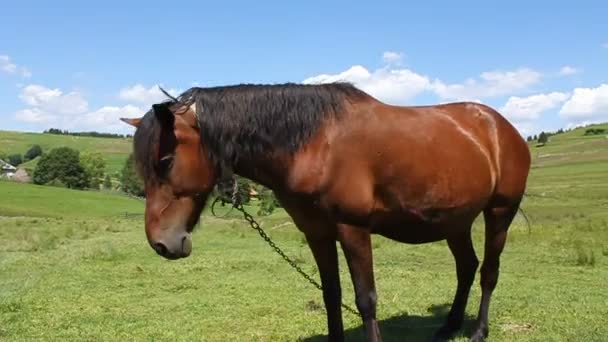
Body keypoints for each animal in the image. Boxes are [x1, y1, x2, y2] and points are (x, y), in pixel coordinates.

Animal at [121, 81, 528, 340]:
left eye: (166, 160)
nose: (161, 243)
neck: (316, 143)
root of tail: (501, 127)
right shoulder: (316, 232)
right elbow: (332, 294)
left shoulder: (353, 228)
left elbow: (366, 300)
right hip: (455, 221)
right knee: (467, 267)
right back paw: (449, 326)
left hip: (499, 213)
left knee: (488, 273)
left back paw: (478, 331)